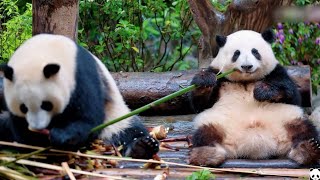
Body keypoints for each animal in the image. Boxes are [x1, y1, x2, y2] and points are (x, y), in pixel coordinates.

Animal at [0, 33, 159, 159]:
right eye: (23, 107)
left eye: (47, 104)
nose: (38, 127)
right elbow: (20, 130)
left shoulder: (81, 76)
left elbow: (87, 117)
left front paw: (61, 136)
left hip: (116, 118)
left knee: (130, 130)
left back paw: (142, 147)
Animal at [189, 29, 318, 166]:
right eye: (236, 53)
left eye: (255, 52)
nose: (247, 66)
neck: (246, 80)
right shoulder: (219, 74)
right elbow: (200, 104)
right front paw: (204, 80)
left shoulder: (276, 71)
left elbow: (292, 94)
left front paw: (263, 91)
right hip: (218, 123)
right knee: (204, 134)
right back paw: (206, 154)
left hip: (287, 120)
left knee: (305, 129)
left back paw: (308, 149)